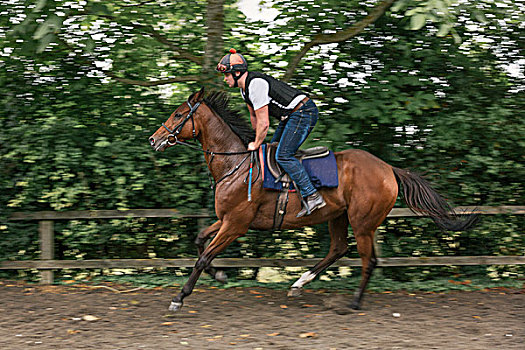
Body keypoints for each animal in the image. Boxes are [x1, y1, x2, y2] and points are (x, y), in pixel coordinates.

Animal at [148, 89, 478, 314]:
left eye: (178, 114)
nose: (154, 139)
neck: (236, 164)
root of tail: (389, 169)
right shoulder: (226, 219)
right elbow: (199, 241)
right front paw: (218, 274)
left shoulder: (236, 224)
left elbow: (203, 256)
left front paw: (180, 297)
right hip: (338, 216)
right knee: (338, 248)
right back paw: (299, 283)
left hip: (363, 222)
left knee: (367, 260)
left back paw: (354, 301)